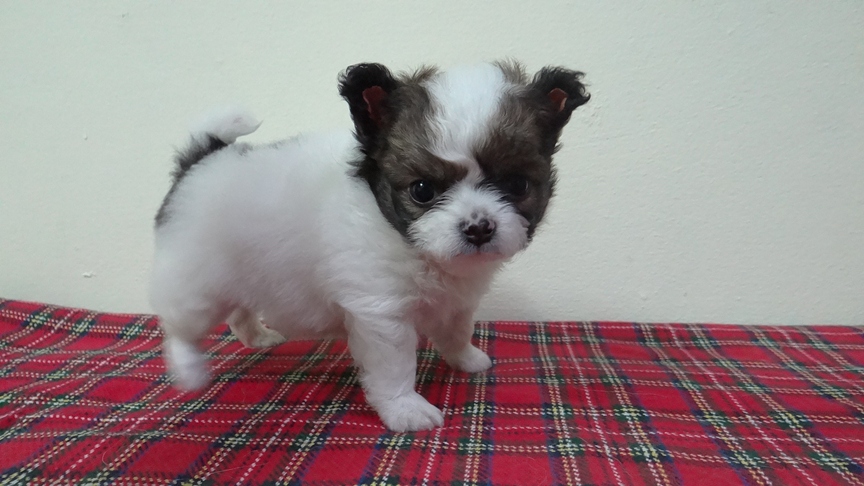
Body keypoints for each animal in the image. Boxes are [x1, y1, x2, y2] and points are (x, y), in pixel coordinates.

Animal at [150, 60, 589, 431]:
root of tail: (202, 160)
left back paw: (257, 336)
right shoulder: (381, 314)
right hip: (197, 286)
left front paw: (466, 359)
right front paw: (405, 409)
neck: (412, 247)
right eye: (423, 190)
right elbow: (395, 366)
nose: (478, 228)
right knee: (180, 328)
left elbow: (456, 330)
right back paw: (189, 370)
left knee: (238, 311)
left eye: (516, 185)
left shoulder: (455, 302)